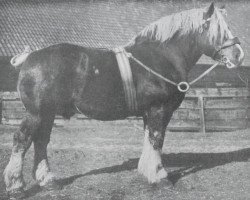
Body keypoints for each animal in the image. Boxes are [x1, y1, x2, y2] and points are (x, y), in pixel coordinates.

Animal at [3, 3, 244, 198]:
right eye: (219, 30)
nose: (239, 55)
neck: (162, 56)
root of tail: (30, 57)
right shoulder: (159, 110)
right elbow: (156, 140)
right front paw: (160, 177)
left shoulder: (149, 112)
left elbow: (149, 140)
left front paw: (147, 173)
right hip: (36, 113)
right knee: (22, 140)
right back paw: (16, 186)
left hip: (48, 113)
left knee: (41, 141)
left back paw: (48, 181)